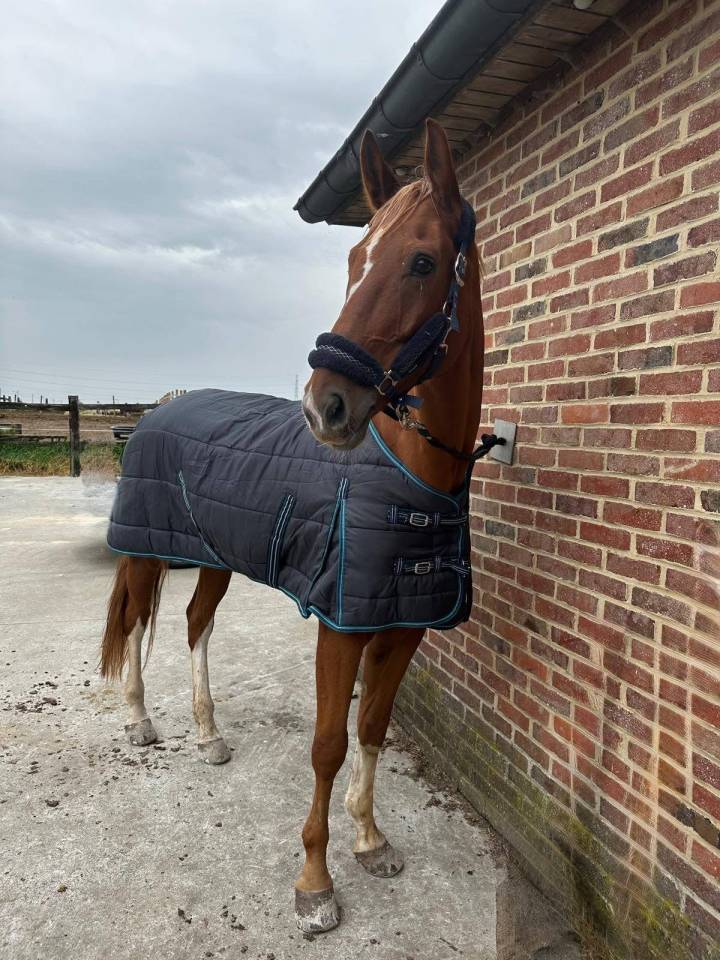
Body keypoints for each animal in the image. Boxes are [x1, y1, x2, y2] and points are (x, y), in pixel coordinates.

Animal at [100, 118, 485, 933]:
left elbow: (372, 729)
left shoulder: (402, 627)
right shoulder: (341, 627)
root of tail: (160, 407)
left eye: (422, 260)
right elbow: (328, 743)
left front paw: (371, 841)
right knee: (136, 622)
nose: (325, 407)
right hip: (146, 550)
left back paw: (209, 734)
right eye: (353, 260)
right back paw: (140, 721)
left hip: (214, 556)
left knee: (193, 623)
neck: (409, 474)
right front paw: (315, 881)